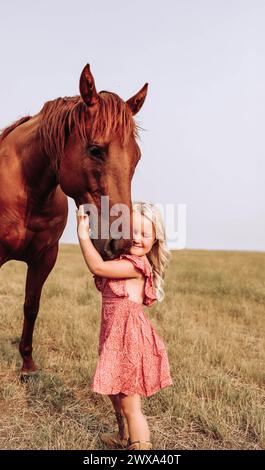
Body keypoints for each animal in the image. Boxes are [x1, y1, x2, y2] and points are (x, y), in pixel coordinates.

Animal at [0, 64, 146, 376]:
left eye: (136, 157)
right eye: (95, 150)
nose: (121, 243)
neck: (28, 191)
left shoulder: (45, 257)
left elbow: (32, 305)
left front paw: (28, 365)